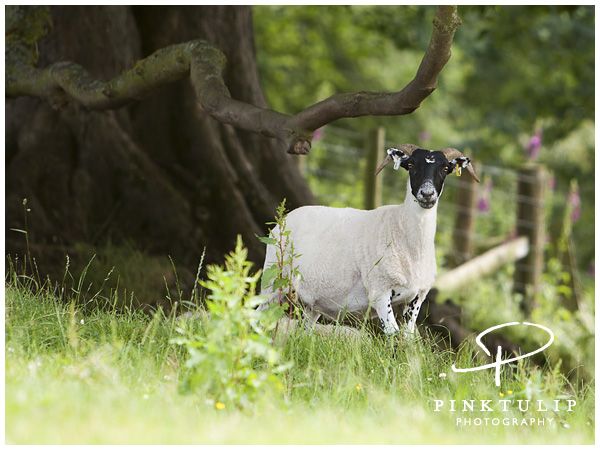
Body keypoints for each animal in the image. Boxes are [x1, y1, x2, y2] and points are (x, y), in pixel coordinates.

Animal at [258, 144, 478, 334]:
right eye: (411, 165)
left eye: (445, 168)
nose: (427, 194)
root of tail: (283, 219)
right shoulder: (380, 291)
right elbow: (393, 336)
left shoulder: (417, 297)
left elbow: (407, 339)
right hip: (272, 282)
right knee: (257, 317)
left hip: (312, 302)